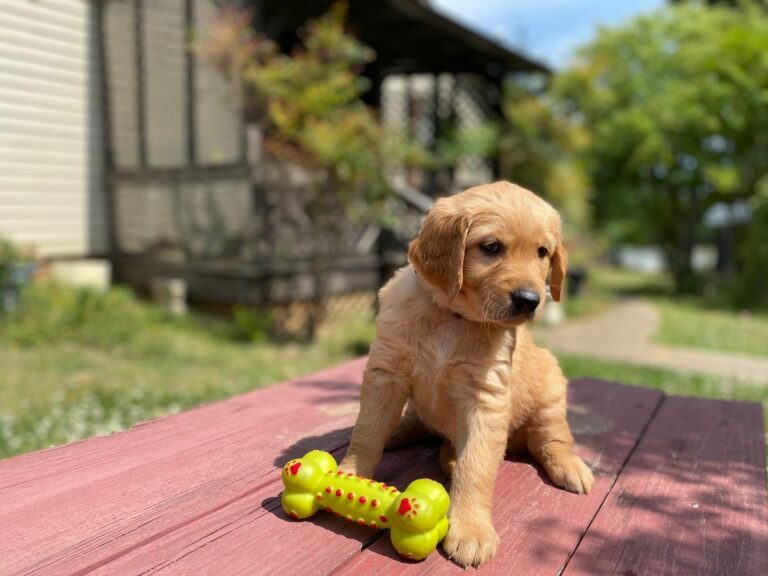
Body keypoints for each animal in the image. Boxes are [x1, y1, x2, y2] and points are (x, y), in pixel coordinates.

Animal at [340, 181, 592, 568]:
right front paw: (348, 475)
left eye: (542, 252)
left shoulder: (485, 398)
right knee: (415, 428)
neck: (452, 317)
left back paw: (569, 467)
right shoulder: (386, 374)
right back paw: (416, 442)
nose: (530, 300)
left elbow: (478, 467)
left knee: (551, 440)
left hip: (550, 392)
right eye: (491, 247)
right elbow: (367, 432)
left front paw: (471, 530)